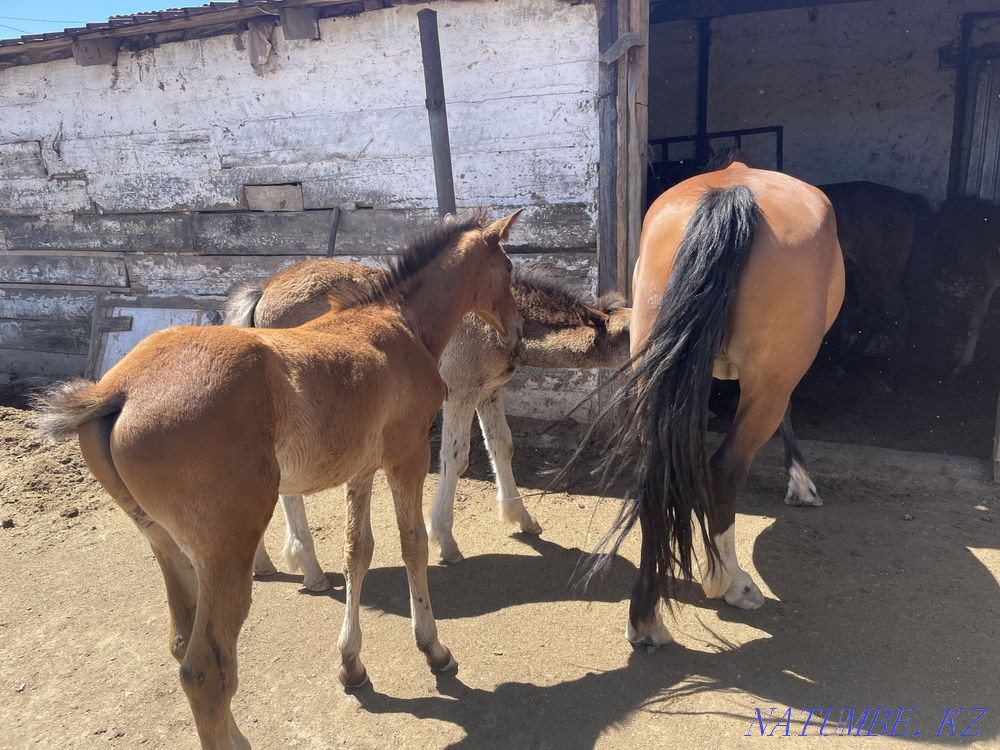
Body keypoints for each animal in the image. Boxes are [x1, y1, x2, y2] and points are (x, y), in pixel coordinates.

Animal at [35, 212, 524, 749]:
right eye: (508, 268)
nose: (516, 334)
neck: (397, 322)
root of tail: (117, 390)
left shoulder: (361, 467)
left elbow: (358, 552)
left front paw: (352, 665)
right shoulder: (407, 455)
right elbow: (411, 544)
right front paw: (434, 649)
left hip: (165, 543)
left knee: (183, 643)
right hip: (227, 549)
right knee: (206, 670)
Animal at [230, 260, 630, 588]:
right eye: (632, 330)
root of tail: (264, 290)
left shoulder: (489, 391)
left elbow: (502, 445)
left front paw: (522, 517)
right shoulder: (460, 391)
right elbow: (456, 457)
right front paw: (446, 540)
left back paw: (262, 564)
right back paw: (310, 568)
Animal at [581, 161, 844, 647]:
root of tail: (731, 194)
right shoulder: (782, 376)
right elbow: (789, 412)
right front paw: (800, 483)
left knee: (658, 474)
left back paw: (646, 620)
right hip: (768, 381)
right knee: (724, 470)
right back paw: (730, 583)